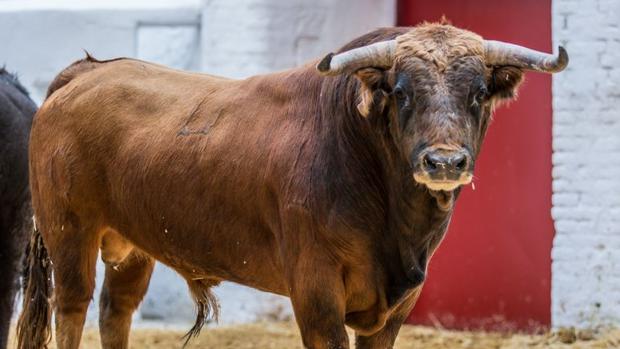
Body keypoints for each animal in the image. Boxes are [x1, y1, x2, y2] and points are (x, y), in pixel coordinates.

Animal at [17, 23, 568, 348]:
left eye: (479, 92)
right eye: (401, 91)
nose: (445, 161)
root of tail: (85, 73)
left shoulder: (398, 304)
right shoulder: (316, 291)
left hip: (133, 246)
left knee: (117, 310)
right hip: (69, 234)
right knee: (73, 307)